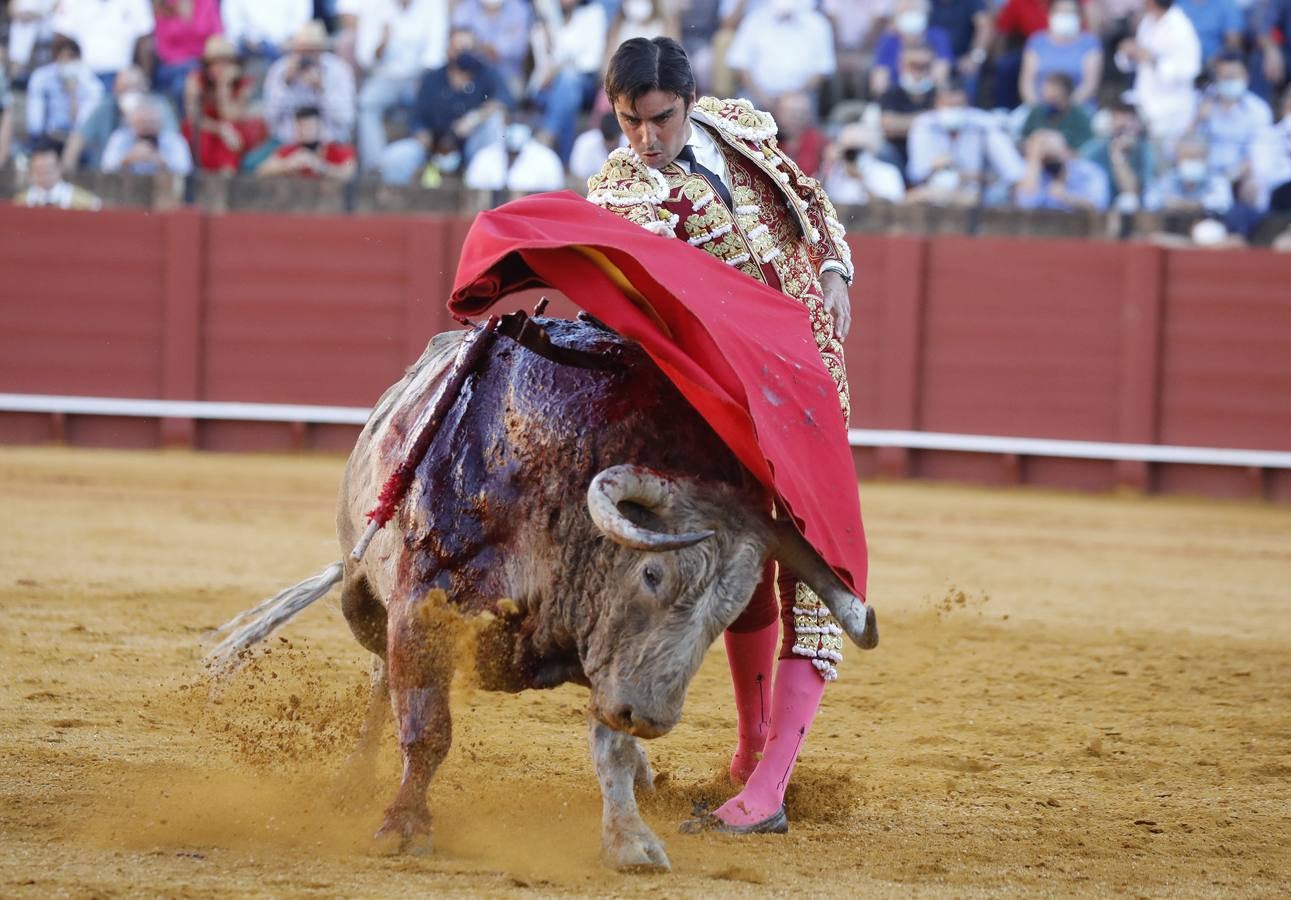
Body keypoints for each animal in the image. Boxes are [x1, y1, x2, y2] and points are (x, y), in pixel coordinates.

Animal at [209, 313, 877, 872]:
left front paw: (629, 840)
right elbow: (427, 730)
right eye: (652, 575)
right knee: (379, 675)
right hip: (365, 597)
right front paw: (403, 828)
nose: (653, 717)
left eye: (728, 611)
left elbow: (609, 746)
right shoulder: (424, 612)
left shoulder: (609, 661)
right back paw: (352, 782)